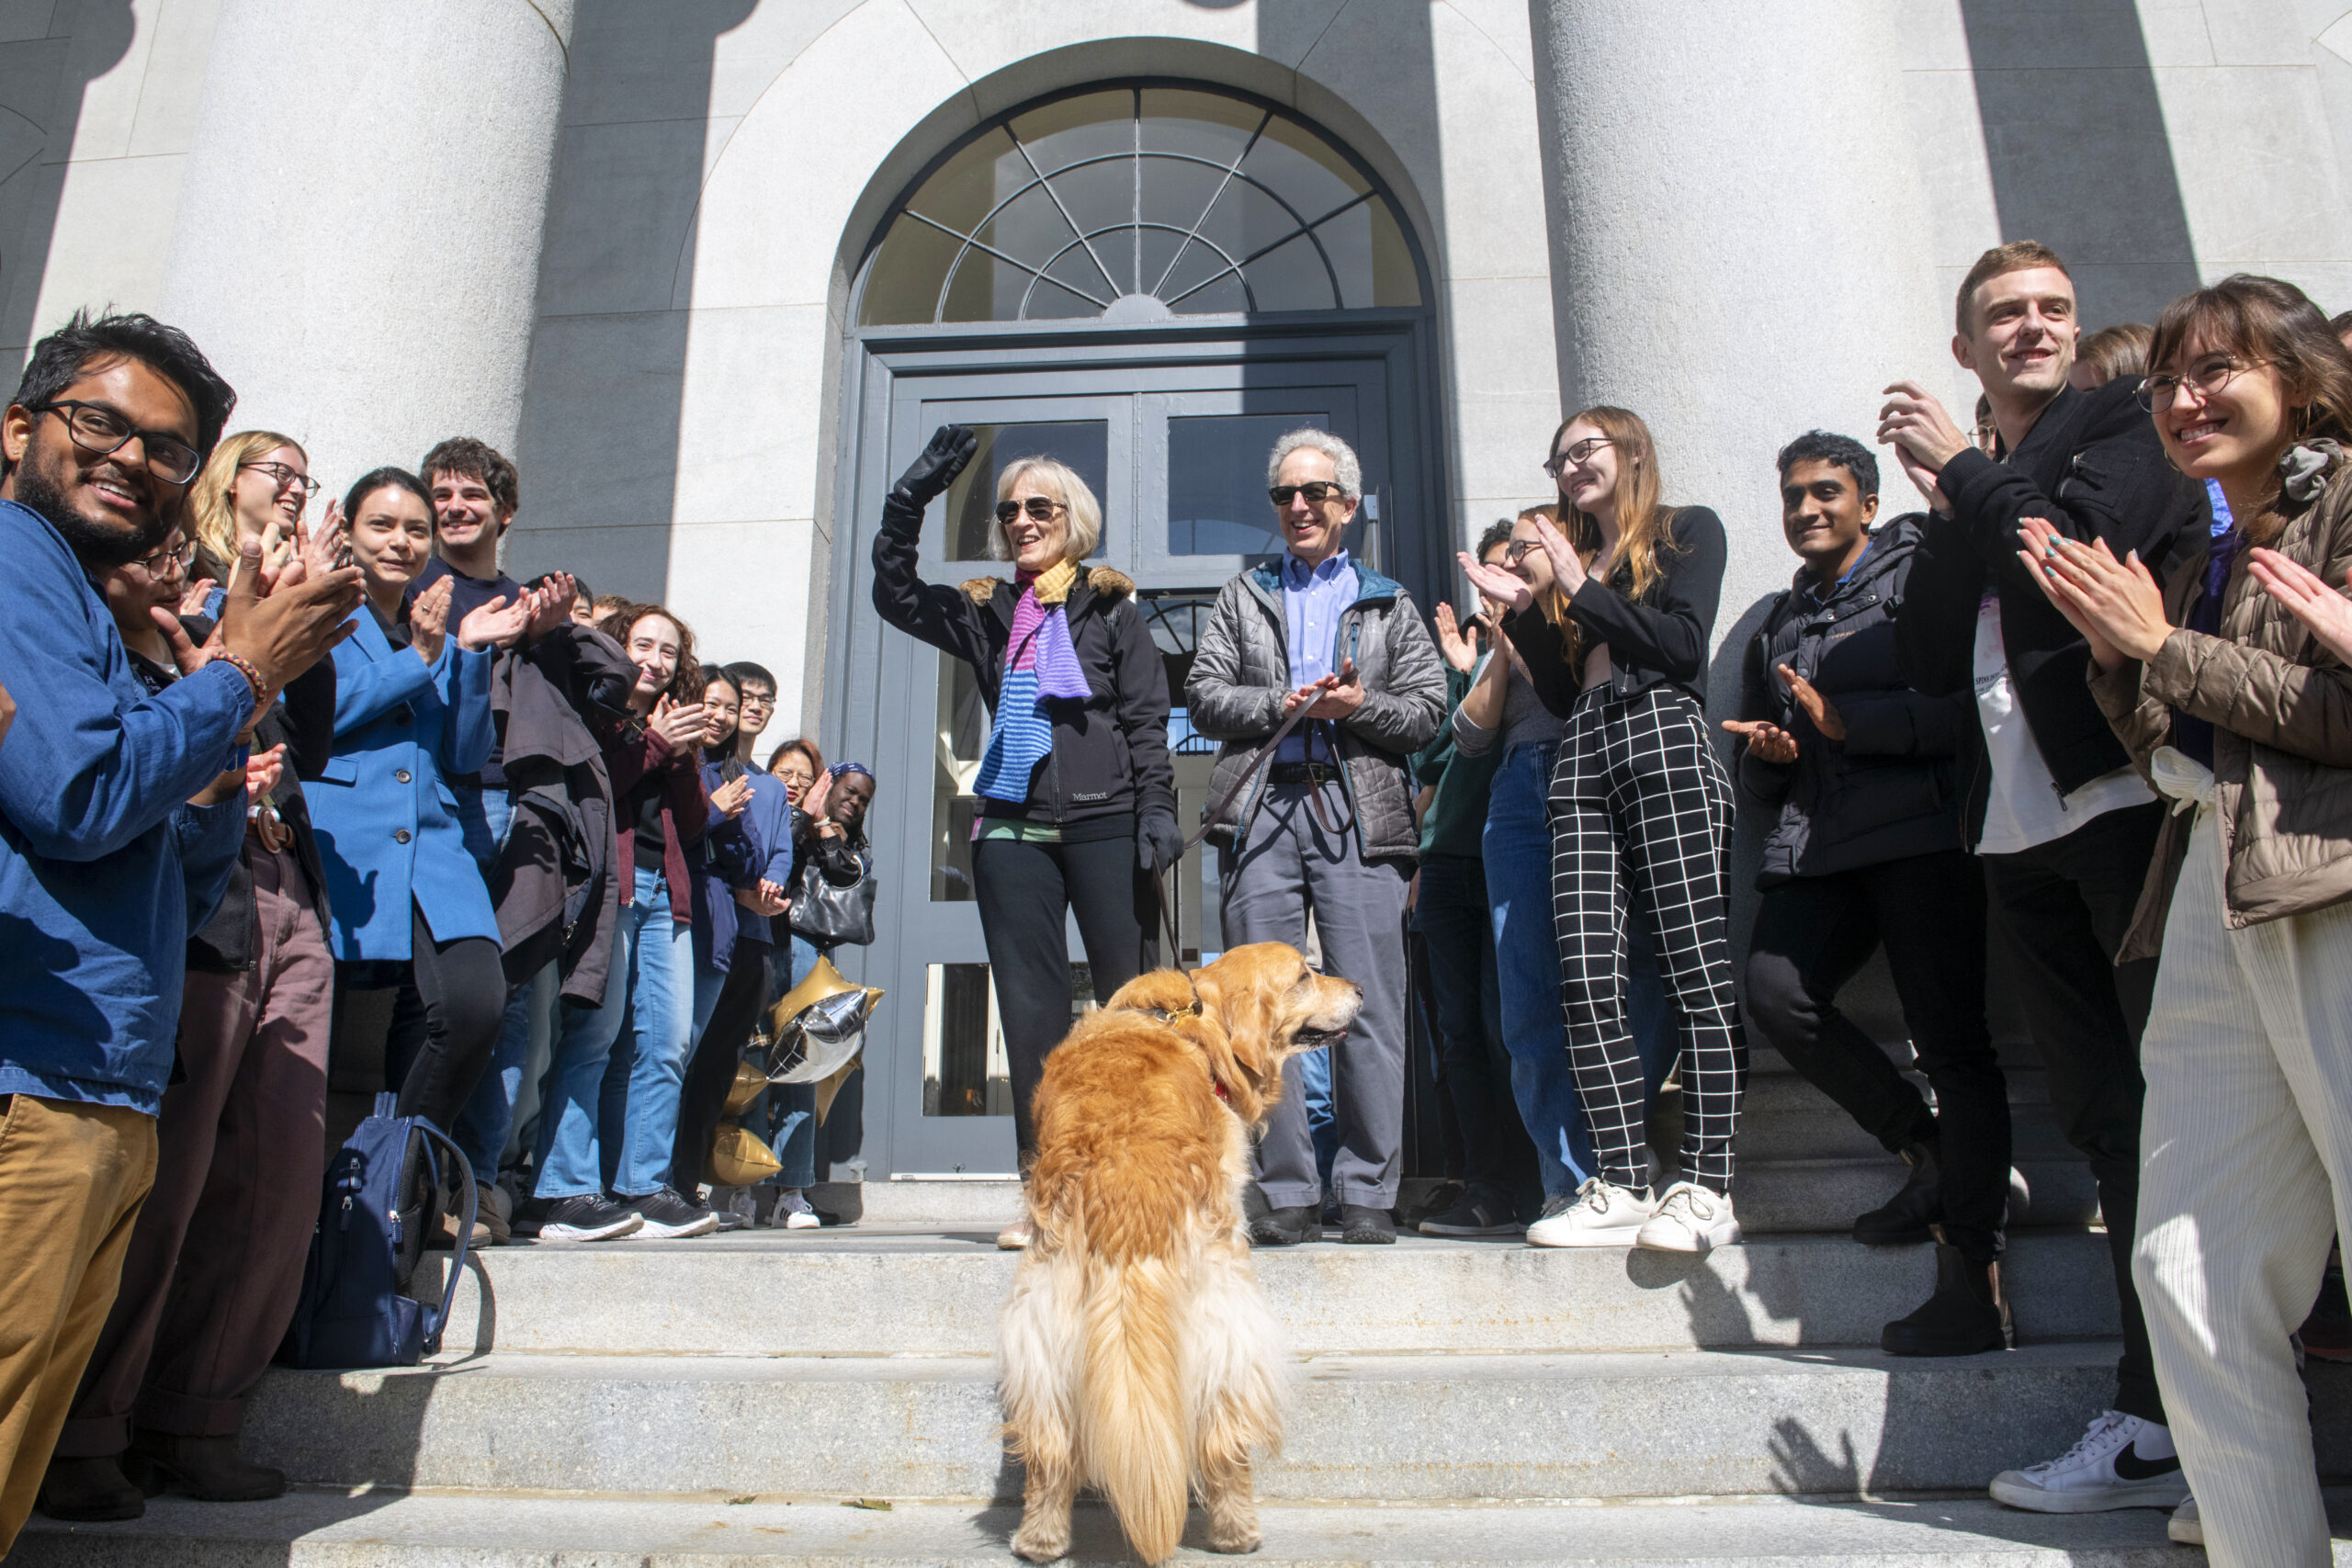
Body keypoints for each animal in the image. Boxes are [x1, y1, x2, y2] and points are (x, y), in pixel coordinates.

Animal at [992, 940, 1363, 1561]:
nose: (1359, 989)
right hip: (1229, 1335)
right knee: (1224, 1444)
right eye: (1305, 975)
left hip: (1039, 1344)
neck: (1194, 1020)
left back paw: (1039, 1538)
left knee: (1050, 1452)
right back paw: (1238, 1530)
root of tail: (1128, 1202)